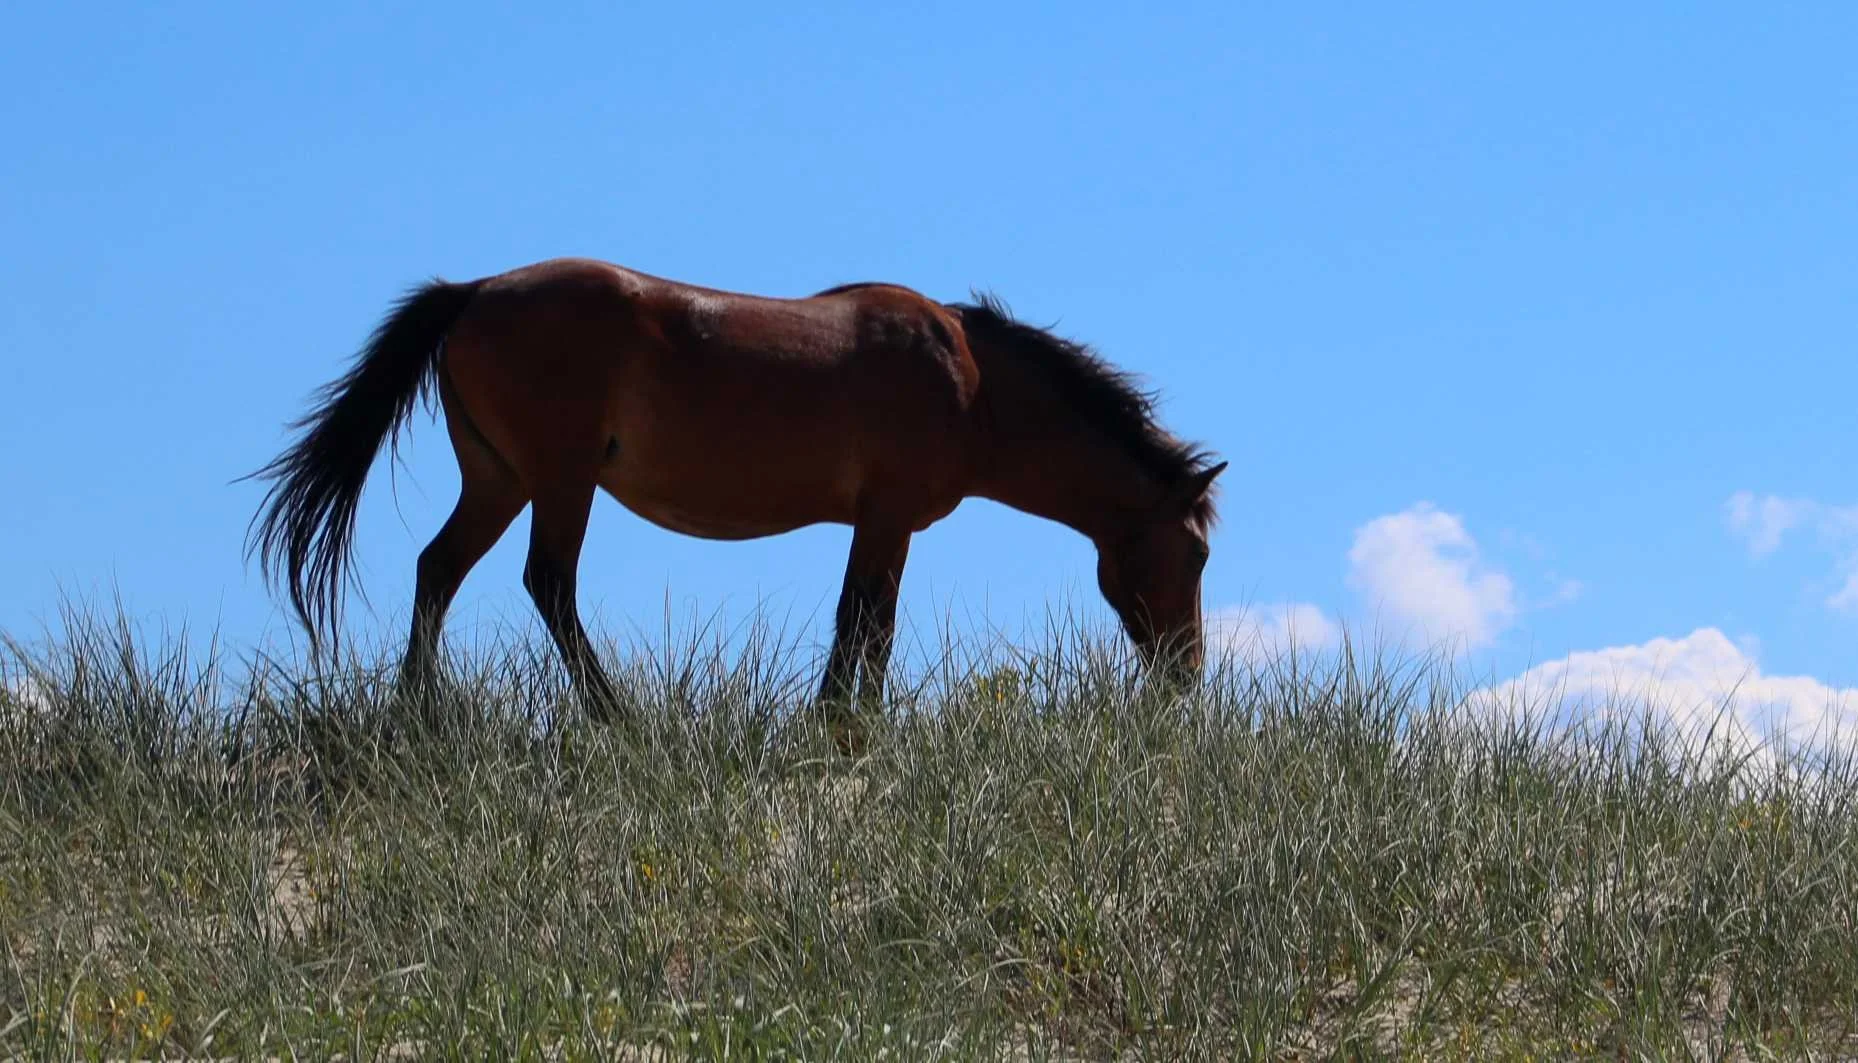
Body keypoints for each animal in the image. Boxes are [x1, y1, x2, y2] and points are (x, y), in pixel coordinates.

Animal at [247, 257, 1224, 734]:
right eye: (1197, 550)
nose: (1188, 673)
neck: (975, 384)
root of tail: (474, 292)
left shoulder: (886, 523)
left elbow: (868, 620)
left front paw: (847, 719)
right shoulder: (886, 515)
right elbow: (862, 621)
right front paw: (844, 725)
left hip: (499, 481)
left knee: (437, 570)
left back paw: (417, 715)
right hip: (560, 481)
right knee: (548, 583)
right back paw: (616, 717)